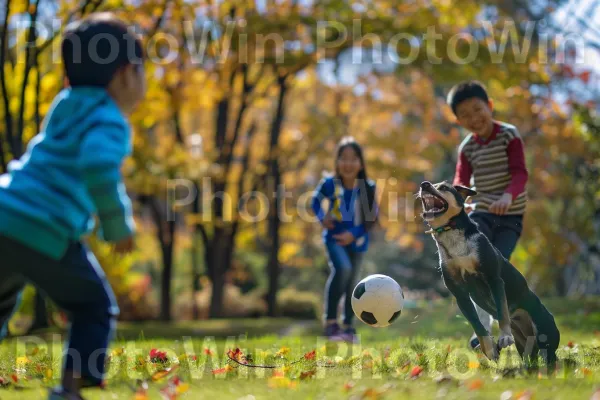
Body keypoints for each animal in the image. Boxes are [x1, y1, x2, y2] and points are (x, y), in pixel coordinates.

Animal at [420, 181, 560, 368]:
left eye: (443, 187)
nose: (424, 185)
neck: (453, 236)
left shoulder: (493, 279)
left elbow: (502, 312)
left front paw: (504, 336)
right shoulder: (459, 293)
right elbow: (477, 324)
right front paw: (489, 349)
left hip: (544, 330)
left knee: (549, 356)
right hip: (524, 344)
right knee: (530, 356)